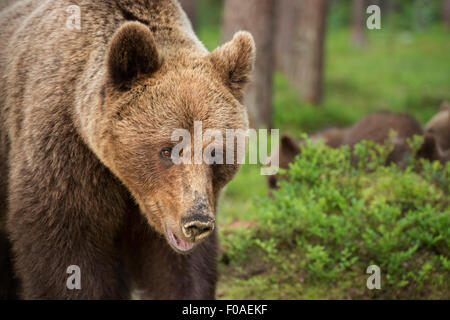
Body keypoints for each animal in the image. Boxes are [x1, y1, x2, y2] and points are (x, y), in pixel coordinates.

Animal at [0, 0, 253, 300]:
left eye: (215, 152)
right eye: (167, 150)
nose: (196, 222)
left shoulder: (172, 209)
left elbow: (182, 268)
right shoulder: (65, 159)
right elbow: (65, 253)